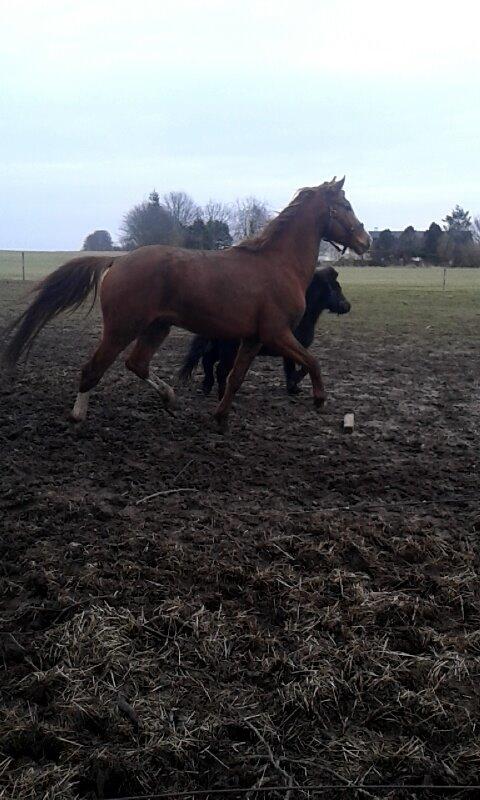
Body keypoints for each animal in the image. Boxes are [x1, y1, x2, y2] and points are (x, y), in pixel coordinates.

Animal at [178, 266, 350, 396]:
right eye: (335, 288)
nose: (347, 306)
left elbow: (291, 369)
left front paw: (292, 388)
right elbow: (305, 367)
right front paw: (294, 385)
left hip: (216, 346)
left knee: (207, 361)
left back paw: (207, 388)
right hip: (228, 351)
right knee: (220, 369)